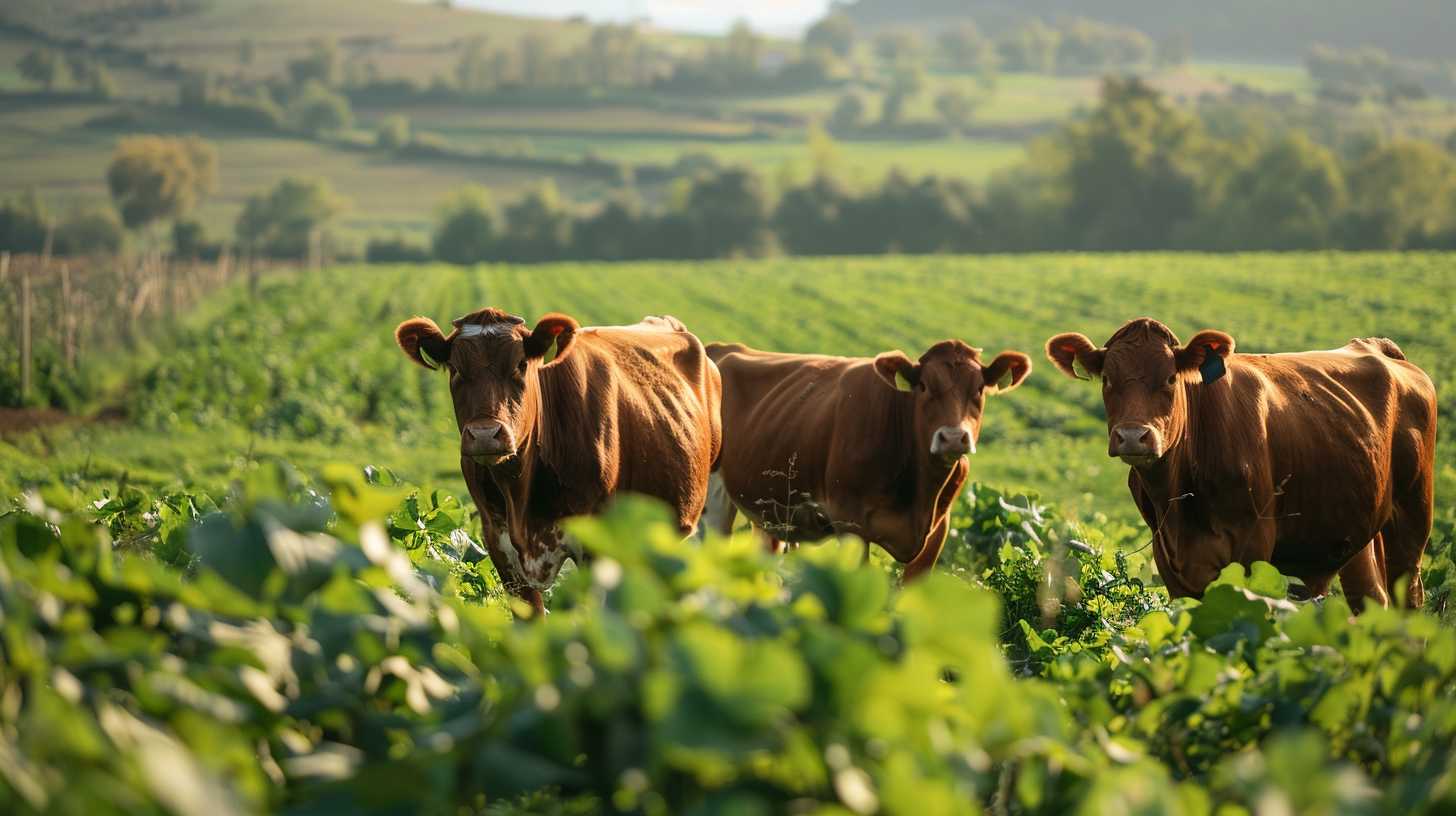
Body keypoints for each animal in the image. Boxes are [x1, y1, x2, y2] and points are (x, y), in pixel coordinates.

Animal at [701, 339, 1025, 579]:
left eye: (979, 389)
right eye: (923, 386)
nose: (954, 437)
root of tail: (721, 348)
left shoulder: (938, 531)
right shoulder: (850, 523)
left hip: (768, 509)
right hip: (712, 498)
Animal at [1048, 319, 1432, 612]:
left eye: (1170, 378)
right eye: (1107, 379)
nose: (1132, 436)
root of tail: (1374, 346)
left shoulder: (1252, 549)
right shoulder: (1169, 560)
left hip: (1412, 515)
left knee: (1409, 597)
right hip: (1355, 527)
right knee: (1369, 598)